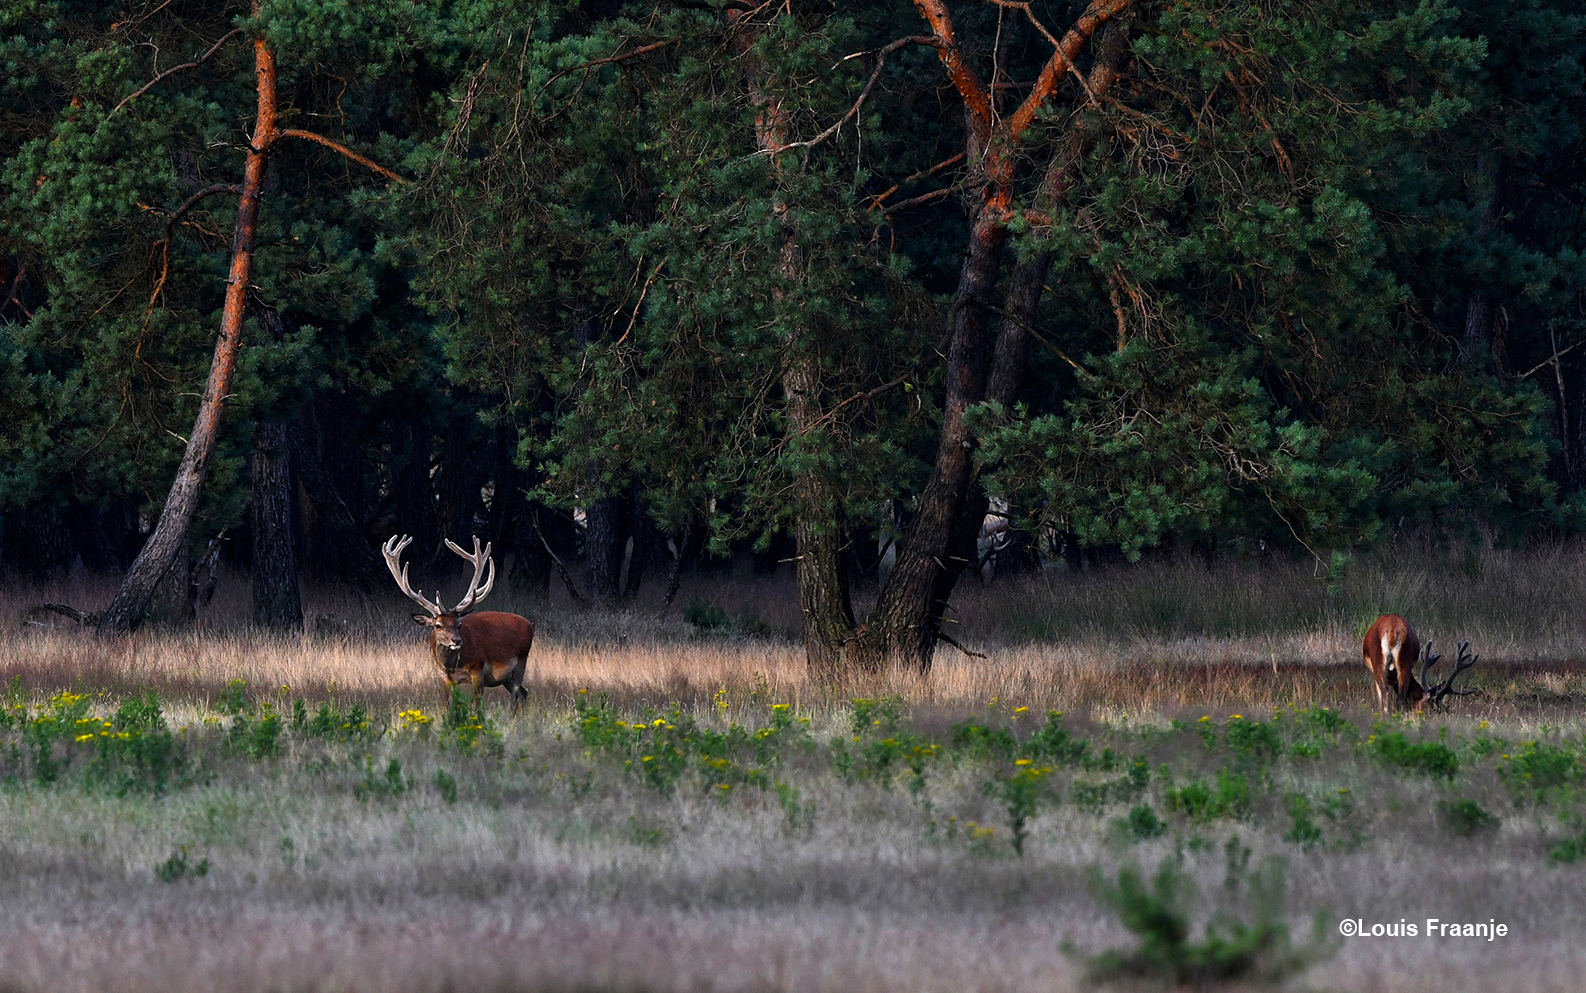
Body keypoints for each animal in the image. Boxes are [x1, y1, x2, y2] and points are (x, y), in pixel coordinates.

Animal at [385, 532, 536, 710]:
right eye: (438, 625)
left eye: (459, 625)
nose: (456, 640)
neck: (452, 666)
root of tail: (529, 624)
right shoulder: (445, 678)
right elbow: (449, 705)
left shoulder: (478, 671)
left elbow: (477, 705)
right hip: (506, 677)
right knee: (523, 694)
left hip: (521, 661)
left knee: (516, 696)